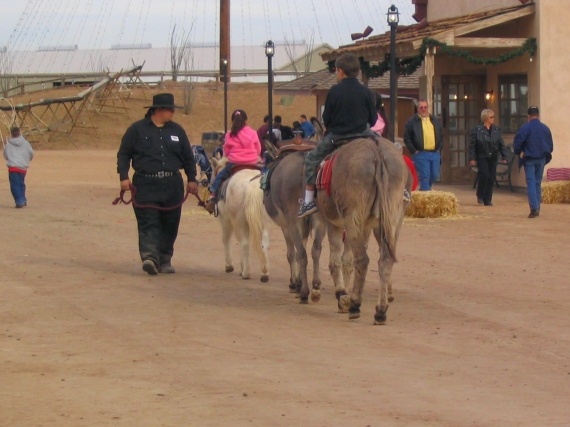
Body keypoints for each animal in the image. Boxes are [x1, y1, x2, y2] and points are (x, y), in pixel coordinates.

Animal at [262, 150, 324, 304]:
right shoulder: (304, 226)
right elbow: (303, 246)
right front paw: (299, 282)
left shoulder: (287, 226)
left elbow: (291, 254)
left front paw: (295, 283)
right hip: (320, 220)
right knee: (316, 250)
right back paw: (315, 288)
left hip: (293, 220)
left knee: (301, 253)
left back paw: (304, 293)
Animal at [318, 137, 410, 324]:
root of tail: (377, 151)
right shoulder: (367, 225)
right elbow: (345, 259)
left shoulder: (333, 223)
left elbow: (335, 260)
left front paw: (342, 295)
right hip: (390, 217)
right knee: (385, 259)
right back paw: (381, 310)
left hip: (354, 217)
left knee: (362, 260)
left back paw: (355, 305)